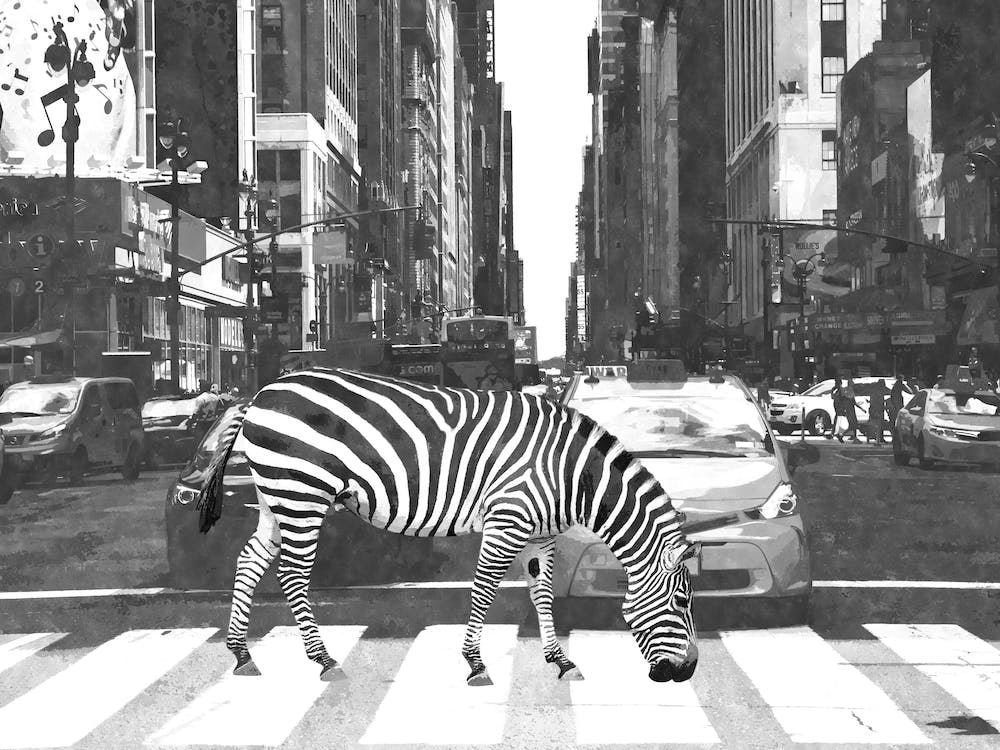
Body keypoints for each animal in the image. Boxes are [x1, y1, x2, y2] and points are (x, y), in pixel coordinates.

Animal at [191, 368, 701, 685]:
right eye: (682, 601)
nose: (689, 672)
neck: (568, 474)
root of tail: (261, 393)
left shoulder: (540, 534)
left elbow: (542, 593)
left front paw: (560, 661)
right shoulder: (507, 519)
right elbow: (484, 591)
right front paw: (475, 664)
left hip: (275, 496)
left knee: (249, 560)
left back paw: (242, 654)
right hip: (301, 492)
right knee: (293, 574)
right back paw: (324, 660)